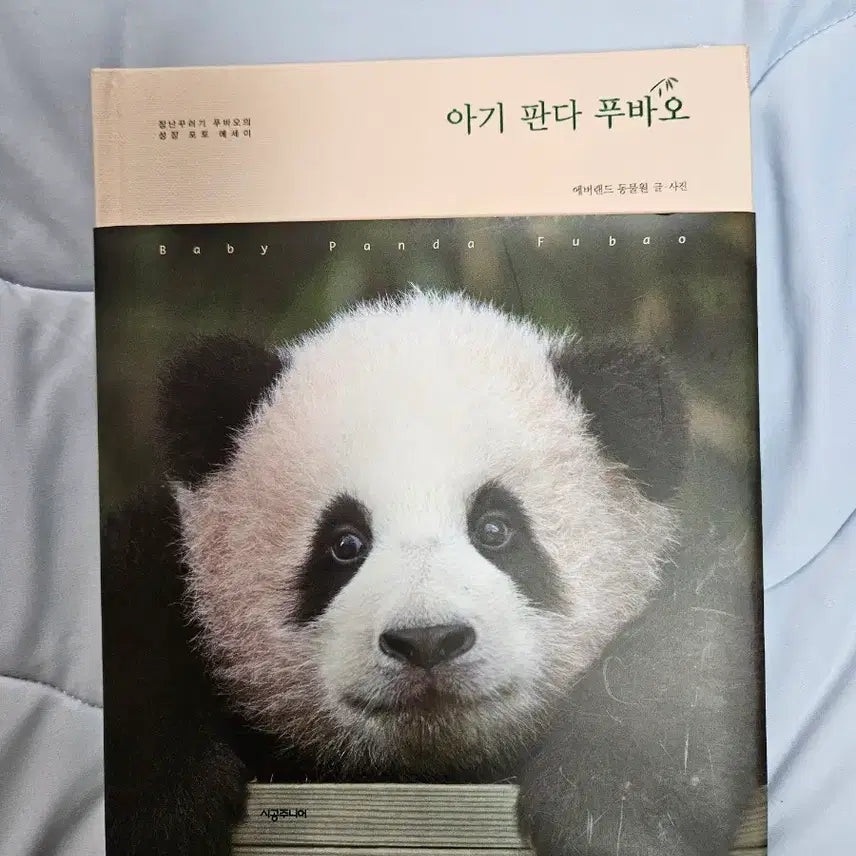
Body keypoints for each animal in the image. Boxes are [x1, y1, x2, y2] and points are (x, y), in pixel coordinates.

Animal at [101, 288, 763, 856]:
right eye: (344, 544)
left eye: (496, 529)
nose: (427, 640)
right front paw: (166, 809)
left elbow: (702, 628)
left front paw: (610, 807)